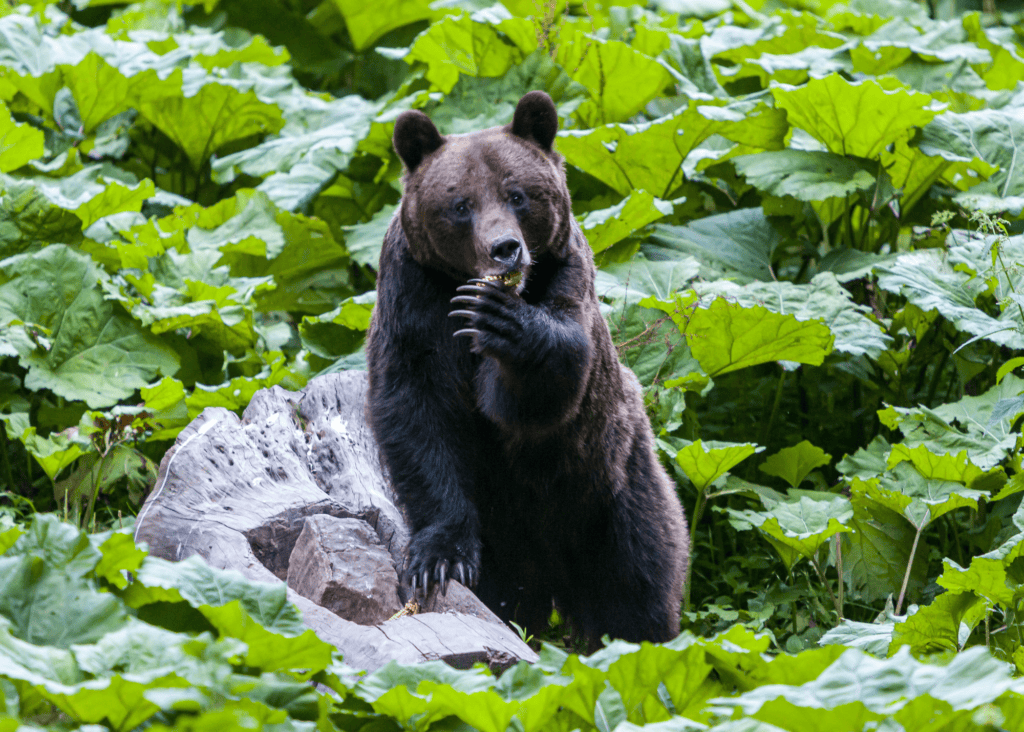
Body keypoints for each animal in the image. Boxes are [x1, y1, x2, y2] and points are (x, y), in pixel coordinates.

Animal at [365, 91, 689, 645]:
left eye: (517, 195)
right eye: (460, 205)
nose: (505, 248)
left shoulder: (567, 277)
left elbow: (545, 385)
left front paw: (500, 320)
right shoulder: (412, 302)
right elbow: (418, 417)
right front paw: (440, 559)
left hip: (615, 487)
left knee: (638, 579)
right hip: (517, 540)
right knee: (512, 596)